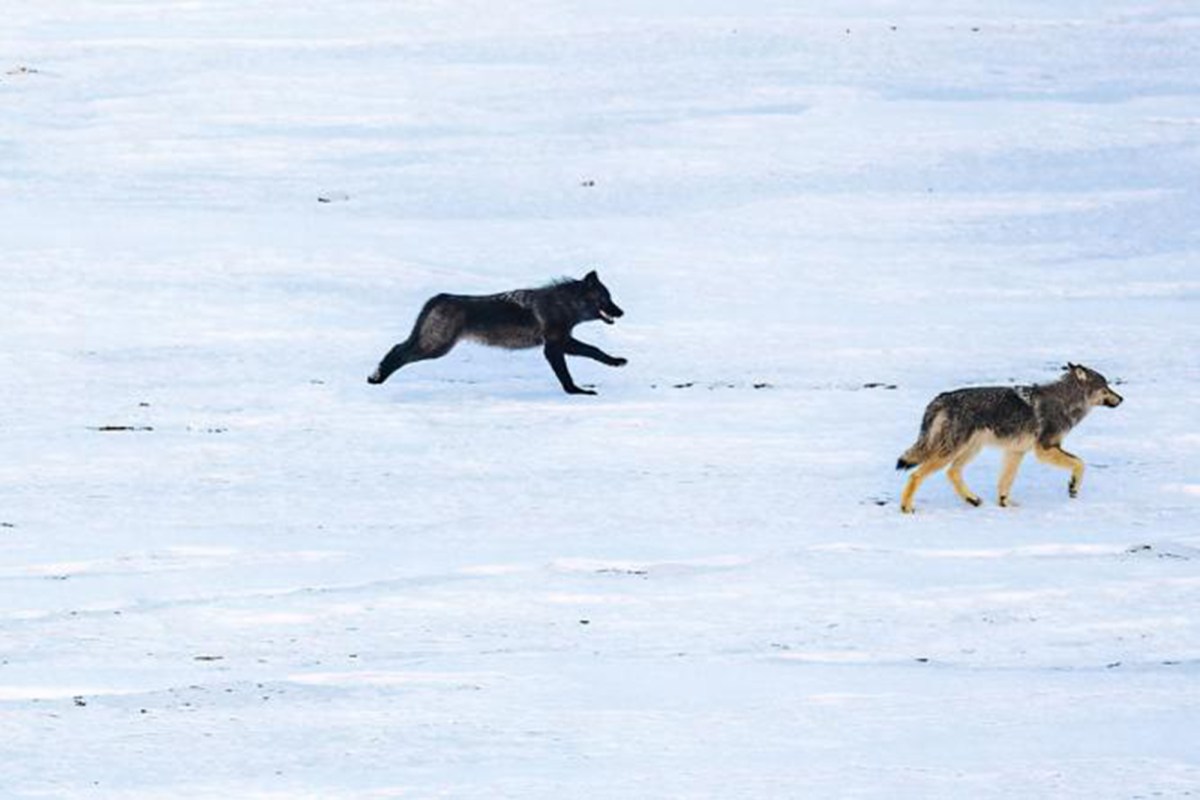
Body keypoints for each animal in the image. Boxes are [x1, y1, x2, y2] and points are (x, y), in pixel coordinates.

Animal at [367, 271, 625, 395]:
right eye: (606, 298)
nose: (622, 312)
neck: (564, 304)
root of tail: (439, 297)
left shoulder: (559, 344)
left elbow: (590, 352)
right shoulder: (554, 345)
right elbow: (589, 354)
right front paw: (577, 391)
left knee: (397, 347)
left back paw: (376, 376)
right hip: (436, 347)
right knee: (399, 351)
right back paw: (377, 378)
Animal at [896, 364, 1123, 513]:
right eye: (1106, 387)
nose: (1122, 399)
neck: (1066, 402)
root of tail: (940, 398)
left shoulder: (1016, 451)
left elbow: (1005, 482)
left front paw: (1005, 504)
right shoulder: (1044, 449)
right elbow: (1080, 463)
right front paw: (1073, 487)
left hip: (970, 450)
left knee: (952, 472)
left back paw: (972, 499)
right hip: (951, 451)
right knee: (916, 475)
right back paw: (906, 508)